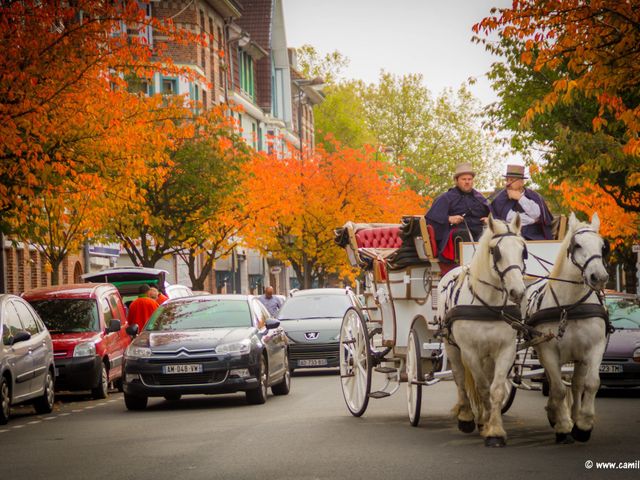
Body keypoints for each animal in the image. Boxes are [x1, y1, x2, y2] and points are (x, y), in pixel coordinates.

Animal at [438, 216, 528, 448]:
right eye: (495, 252)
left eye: (523, 250)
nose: (517, 291)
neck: (489, 304)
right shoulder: (470, 352)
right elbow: (482, 387)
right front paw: (486, 424)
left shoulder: (506, 350)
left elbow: (495, 389)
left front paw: (493, 428)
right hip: (452, 347)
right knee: (460, 379)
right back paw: (467, 417)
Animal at [524, 212, 608, 444]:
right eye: (577, 245)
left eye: (603, 246)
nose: (600, 277)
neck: (570, 307)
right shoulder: (548, 351)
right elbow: (559, 389)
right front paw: (562, 426)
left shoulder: (595, 348)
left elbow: (591, 383)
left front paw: (583, 424)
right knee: (557, 385)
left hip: (578, 357)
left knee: (577, 384)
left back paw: (573, 415)